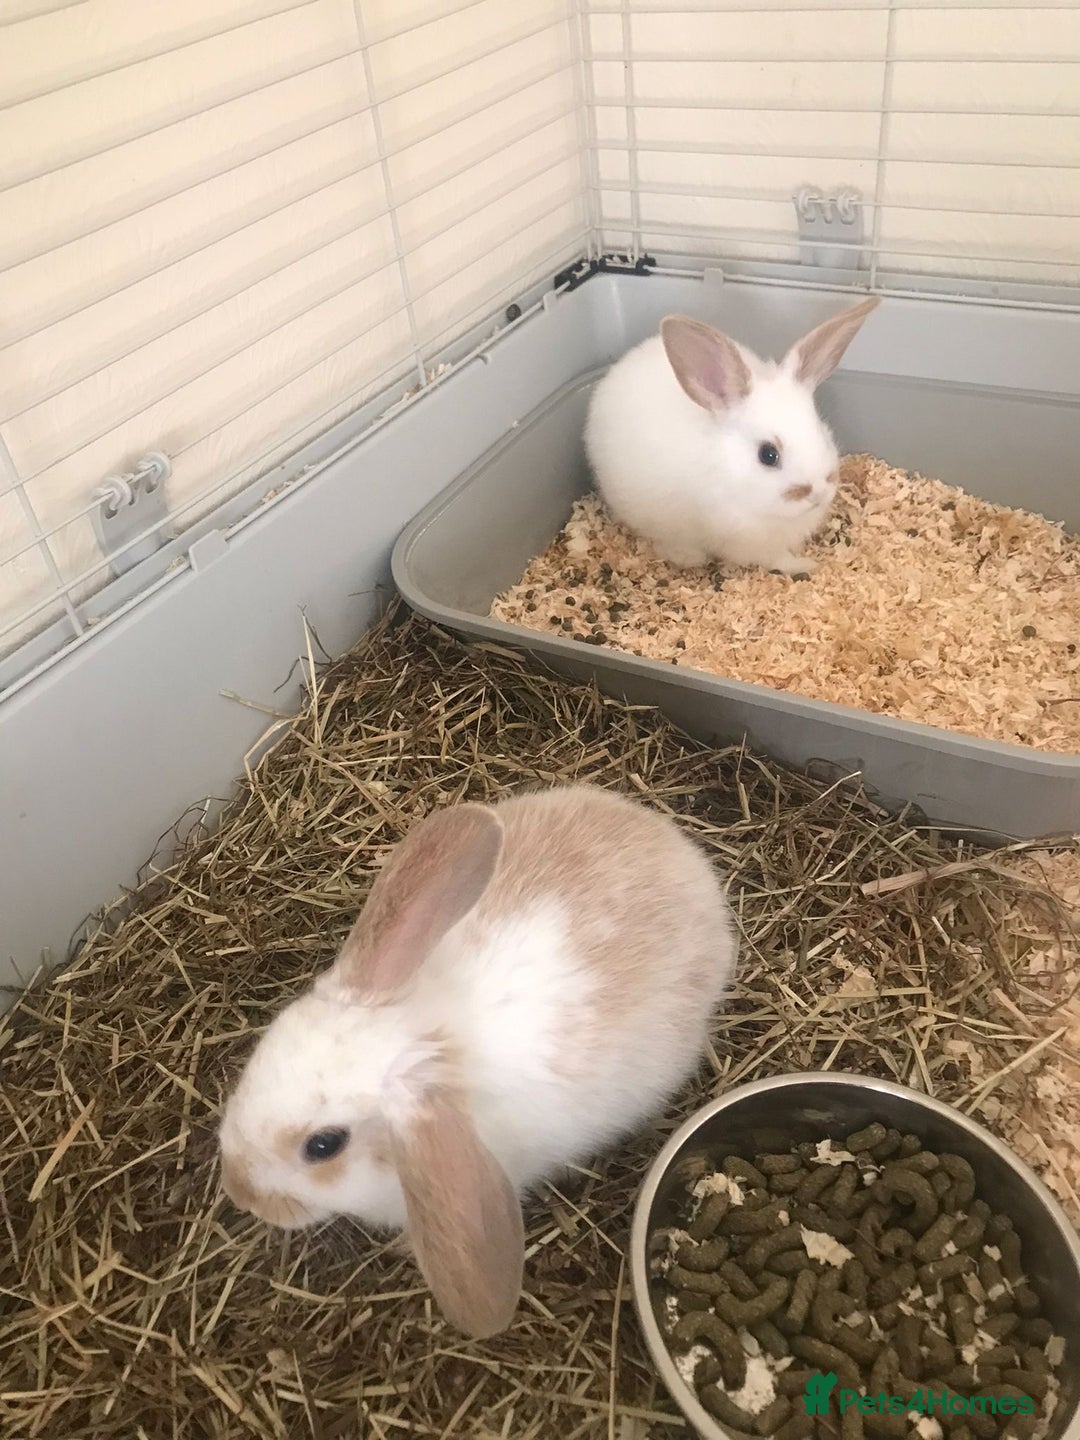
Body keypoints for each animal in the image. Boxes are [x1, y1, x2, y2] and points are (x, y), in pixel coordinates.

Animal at [584, 296, 880, 576]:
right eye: (768, 454)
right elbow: (777, 559)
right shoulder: (752, 545)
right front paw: (805, 565)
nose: (818, 492)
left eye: (821, 430)